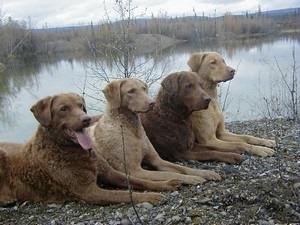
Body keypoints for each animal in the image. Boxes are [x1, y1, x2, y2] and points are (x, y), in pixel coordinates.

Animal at [0, 92, 166, 207]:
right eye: (63, 109)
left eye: (80, 105)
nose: (86, 119)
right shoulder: (88, 191)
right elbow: (123, 194)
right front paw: (150, 197)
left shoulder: (110, 172)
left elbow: (139, 181)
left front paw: (167, 183)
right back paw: (6, 199)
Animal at [88, 77, 221, 186]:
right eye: (131, 91)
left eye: (143, 89)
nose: (152, 103)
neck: (132, 130)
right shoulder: (135, 170)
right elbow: (169, 174)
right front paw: (192, 178)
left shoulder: (158, 160)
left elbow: (182, 168)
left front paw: (205, 173)